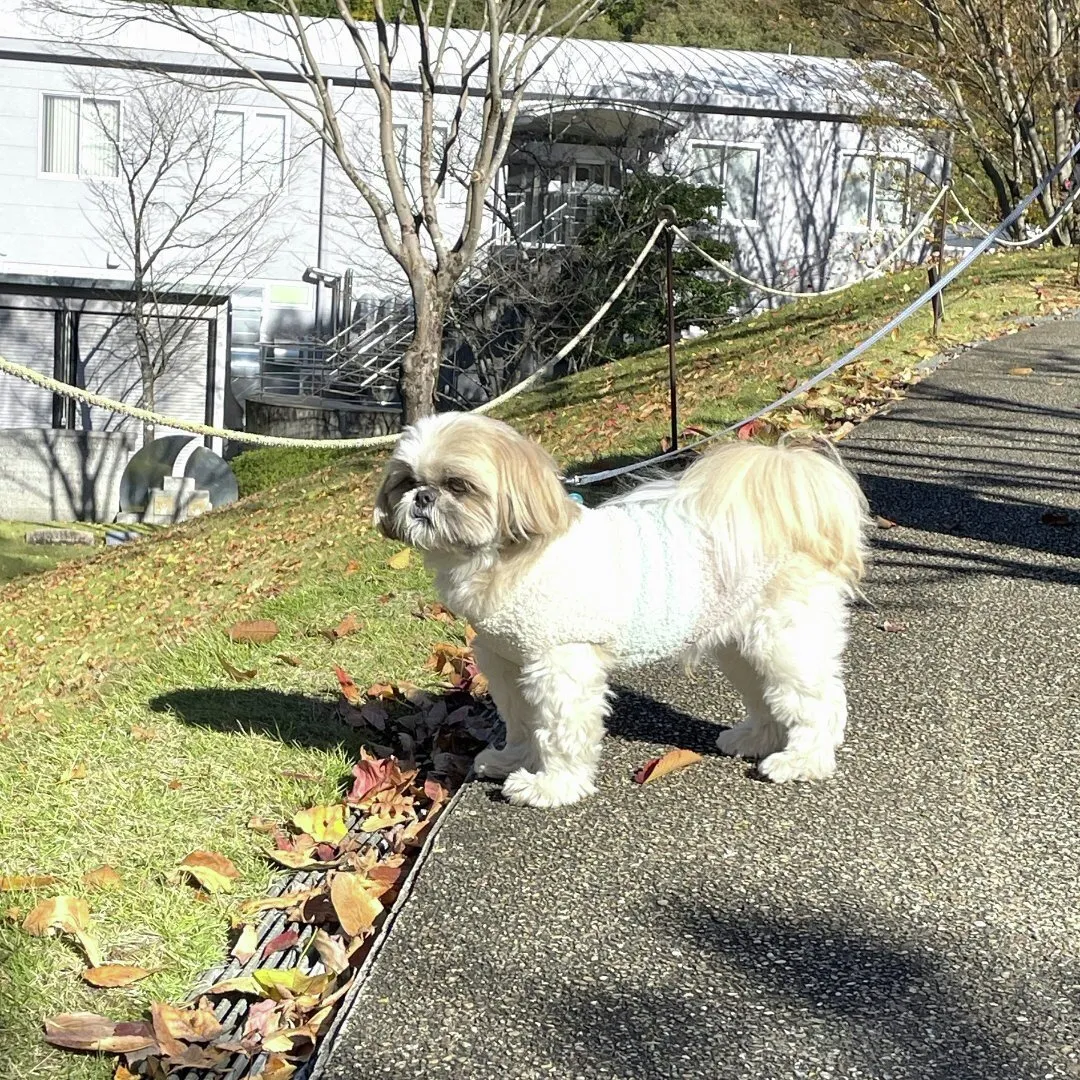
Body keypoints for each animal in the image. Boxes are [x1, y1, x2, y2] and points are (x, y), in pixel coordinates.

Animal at [373, 412, 868, 812]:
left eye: (457, 485)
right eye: (406, 481)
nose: (422, 498)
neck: (507, 556)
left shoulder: (559, 664)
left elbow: (558, 730)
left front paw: (551, 786)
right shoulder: (507, 662)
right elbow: (522, 722)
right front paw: (513, 760)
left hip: (784, 639)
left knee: (819, 701)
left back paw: (803, 759)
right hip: (740, 645)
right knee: (765, 694)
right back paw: (754, 739)